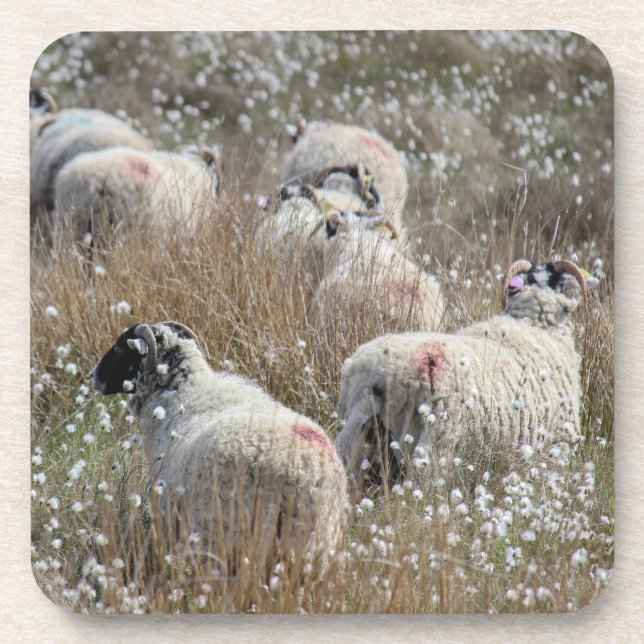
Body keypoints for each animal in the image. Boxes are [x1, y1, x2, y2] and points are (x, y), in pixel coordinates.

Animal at [91, 321, 348, 580]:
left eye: (120, 348)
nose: (93, 376)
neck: (178, 391)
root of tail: (302, 470)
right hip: (314, 545)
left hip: (228, 535)